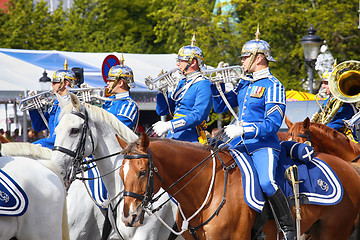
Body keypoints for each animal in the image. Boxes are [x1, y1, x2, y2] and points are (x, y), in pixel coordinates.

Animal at [116, 133, 360, 240]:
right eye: (120, 173)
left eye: (142, 172)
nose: (128, 217)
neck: (206, 189)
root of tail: (349, 167)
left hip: (333, 232)